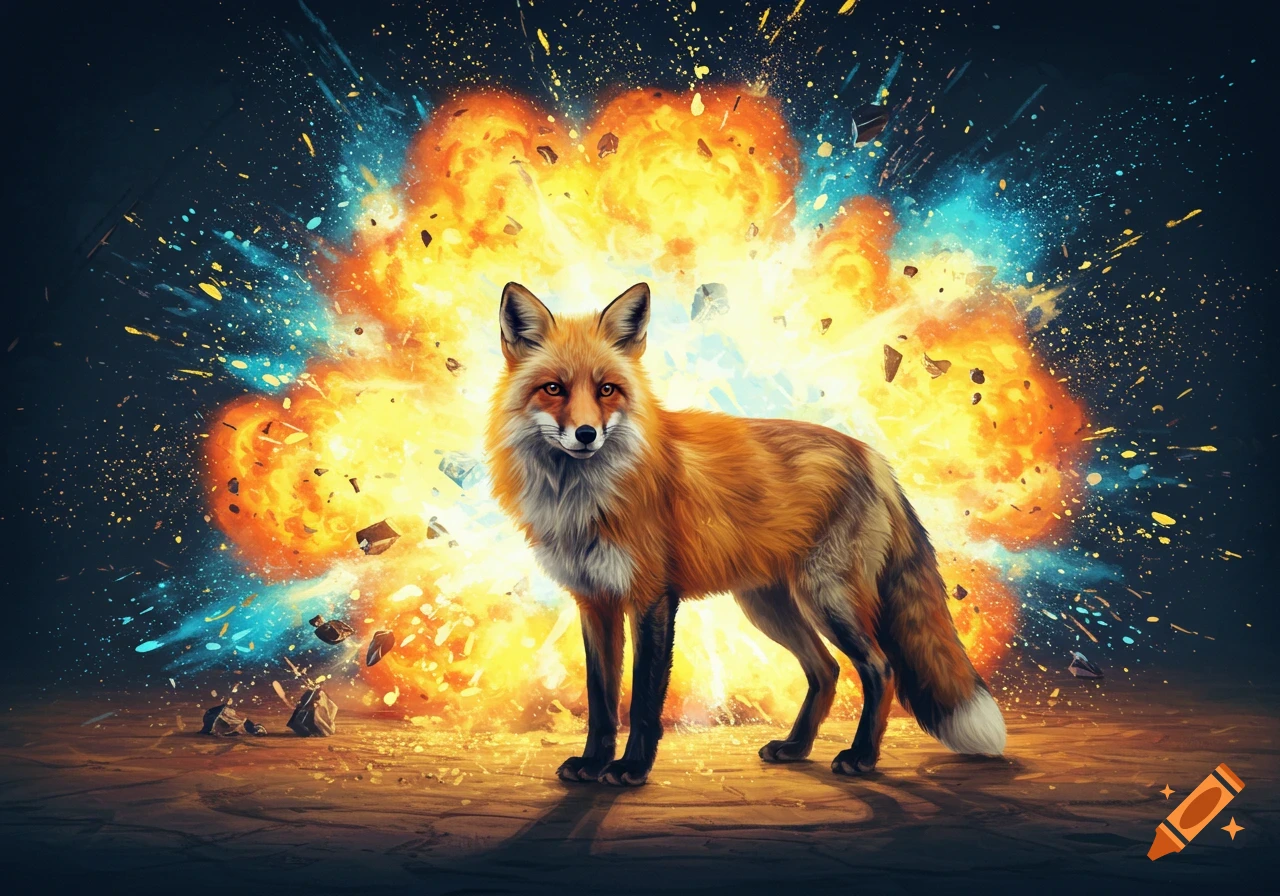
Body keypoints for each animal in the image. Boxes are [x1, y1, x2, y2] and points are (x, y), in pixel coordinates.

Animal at [485, 281, 1006, 786]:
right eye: (553, 388)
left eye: (607, 389)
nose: (587, 434)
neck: (583, 498)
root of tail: (872, 456)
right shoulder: (595, 601)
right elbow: (602, 702)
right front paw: (593, 764)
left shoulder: (652, 597)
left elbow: (644, 701)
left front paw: (632, 769)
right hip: (769, 606)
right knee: (826, 669)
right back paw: (796, 748)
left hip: (827, 598)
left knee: (880, 668)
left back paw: (860, 757)